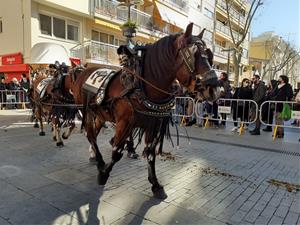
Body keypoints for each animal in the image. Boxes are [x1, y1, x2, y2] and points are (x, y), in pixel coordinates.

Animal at [72, 23, 219, 199]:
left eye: (209, 55)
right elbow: (117, 152)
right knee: (90, 134)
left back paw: (94, 155)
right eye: (193, 54)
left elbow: (150, 153)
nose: (213, 88)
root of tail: (84, 71)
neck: (141, 85)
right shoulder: (125, 123)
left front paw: (155, 184)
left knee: (94, 131)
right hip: (86, 110)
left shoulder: (153, 124)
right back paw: (100, 161)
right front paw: (104, 174)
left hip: (101, 114)